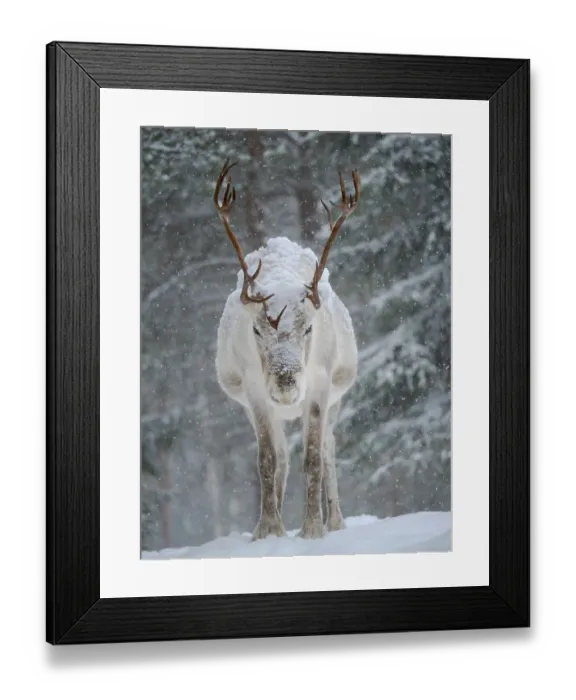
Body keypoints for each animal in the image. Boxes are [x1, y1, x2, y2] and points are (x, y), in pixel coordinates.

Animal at [214, 159, 360, 541]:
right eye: (256, 329)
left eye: (308, 328)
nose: (285, 382)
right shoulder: (254, 393)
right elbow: (266, 460)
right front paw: (269, 529)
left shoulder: (321, 387)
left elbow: (313, 459)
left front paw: (313, 529)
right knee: (281, 455)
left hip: (337, 398)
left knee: (329, 449)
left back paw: (336, 520)